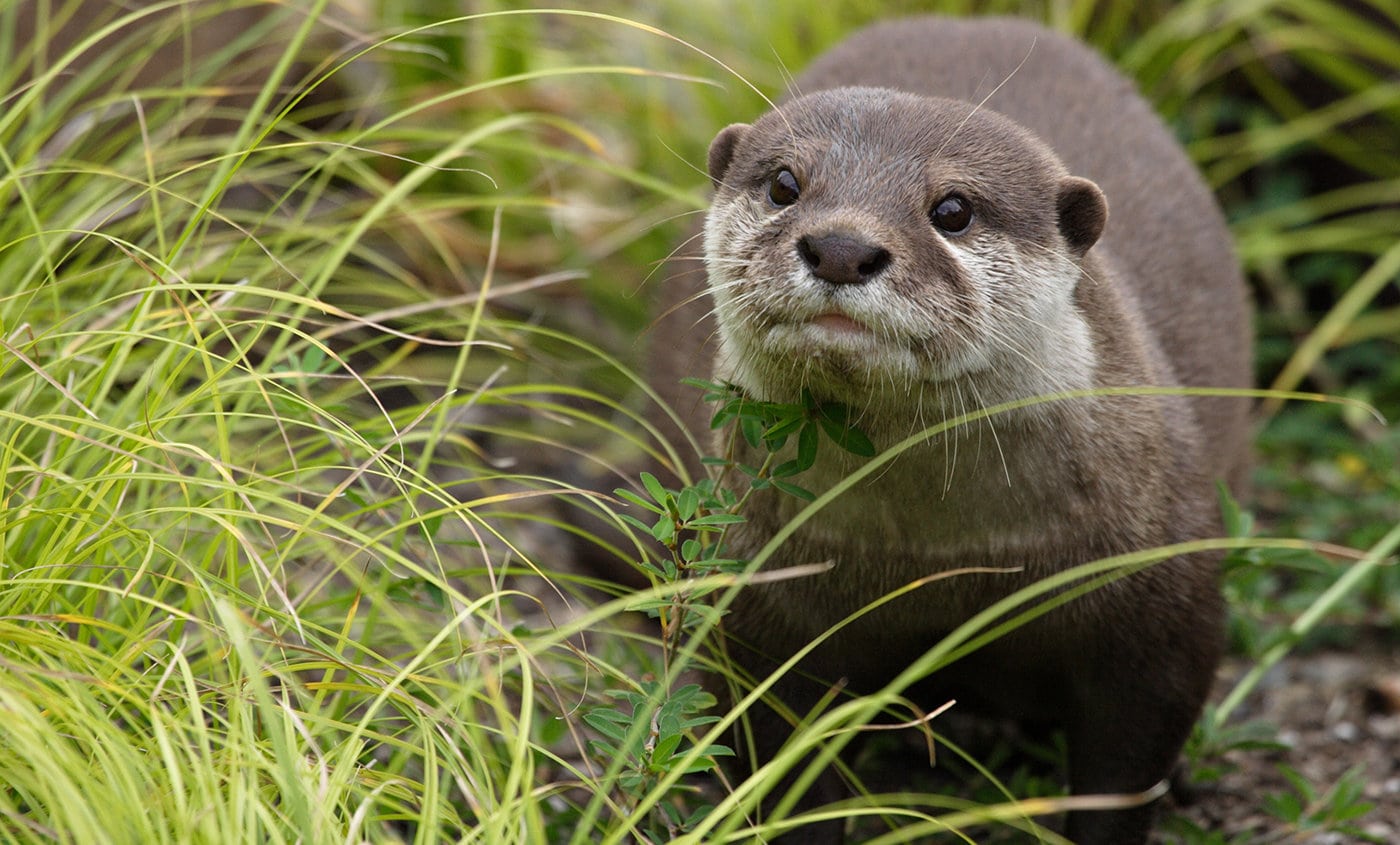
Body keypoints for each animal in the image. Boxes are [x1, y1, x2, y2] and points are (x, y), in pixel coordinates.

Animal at [649, 14, 1254, 845]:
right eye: (783, 184)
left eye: (954, 209)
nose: (841, 247)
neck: (940, 559)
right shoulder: (755, 597)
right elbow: (777, 756)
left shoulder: (1163, 595)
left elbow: (1129, 766)